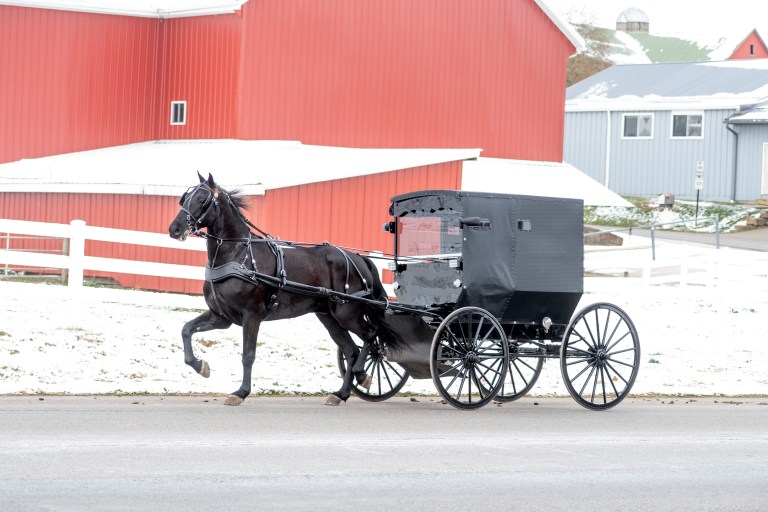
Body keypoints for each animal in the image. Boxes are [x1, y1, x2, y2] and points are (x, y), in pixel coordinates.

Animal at [167, 174, 384, 406]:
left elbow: (248, 355)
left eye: (202, 200)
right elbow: (187, 329)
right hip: (329, 317)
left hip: (347, 314)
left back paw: (362, 374)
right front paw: (201, 366)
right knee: (350, 351)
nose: (175, 229)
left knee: (370, 336)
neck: (238, 256)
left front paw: (241, 392)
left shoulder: (252, 315)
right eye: (185, 198)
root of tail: (358, 258)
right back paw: (340, 394)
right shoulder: (221, 317)